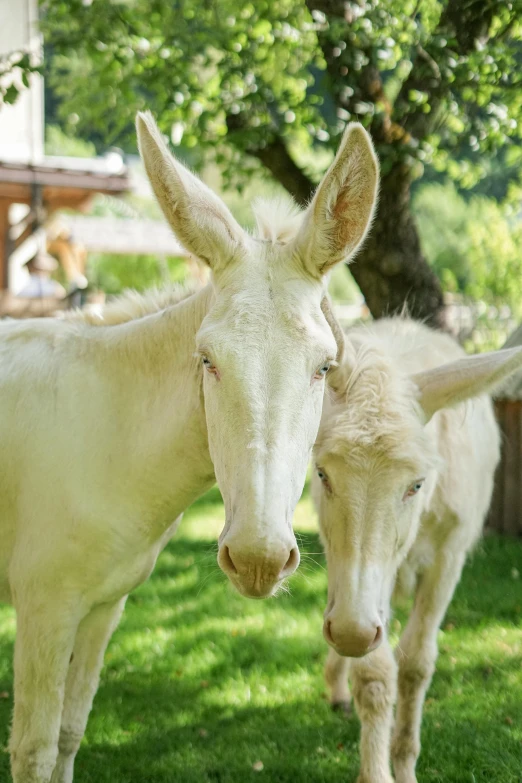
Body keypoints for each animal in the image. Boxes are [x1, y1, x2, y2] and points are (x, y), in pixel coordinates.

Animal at [0, 112, 376, 783]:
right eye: (206, 361)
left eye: (324, 366)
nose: (257, 559)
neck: (111, 436)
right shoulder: (44, 604)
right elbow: (34, 751)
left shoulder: (102, 605)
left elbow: (68, 734)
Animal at [310, 316, 520, 783]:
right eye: (322, 474)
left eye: (416, 485)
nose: (351, 632)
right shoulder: (360, 575)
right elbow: (375, 673)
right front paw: (376, 771)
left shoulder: (448, 558)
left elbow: (416, 663)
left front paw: (404, 763)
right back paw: (337, 684)